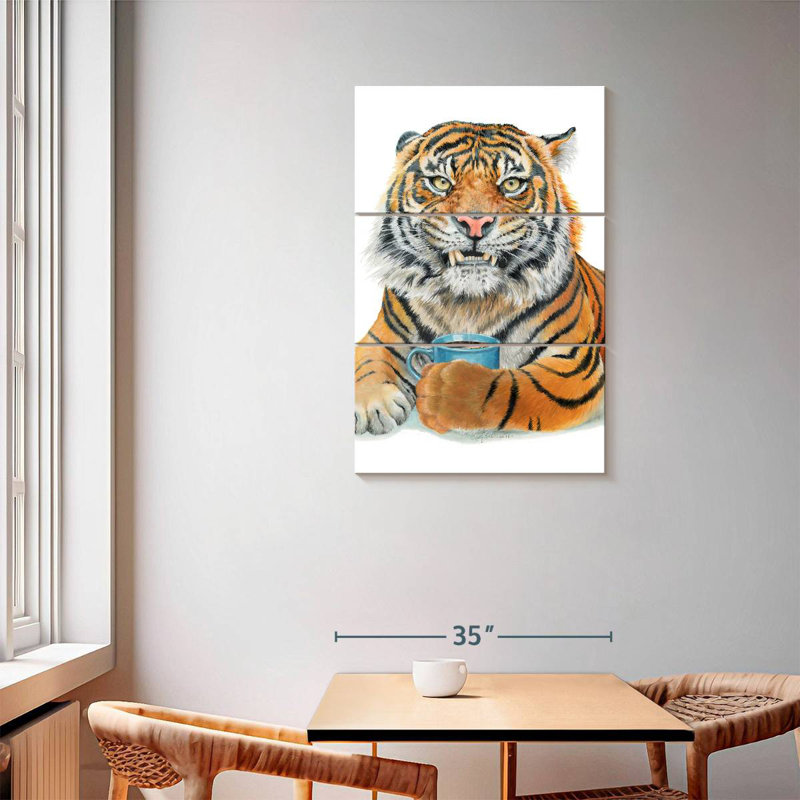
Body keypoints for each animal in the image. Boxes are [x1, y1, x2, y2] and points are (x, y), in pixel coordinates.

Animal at [354, 121, 604, 436]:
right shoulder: (382, 335)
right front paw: (372, 405)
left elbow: (509, 387)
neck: (468, 303)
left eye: (511, 184)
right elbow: (368, 362)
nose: (475, 223)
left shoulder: (574, 361)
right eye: (441, 182)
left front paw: (444, 390)